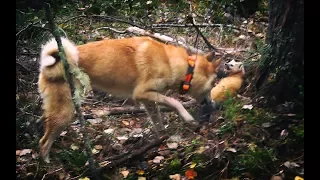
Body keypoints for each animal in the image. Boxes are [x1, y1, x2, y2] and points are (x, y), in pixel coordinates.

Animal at [37, 35, 224, 162]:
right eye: (213, 83)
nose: (214, 105)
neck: (180, 66)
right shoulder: (141, 93)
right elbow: (175, 101)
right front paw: (188, 118)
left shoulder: (148, 100)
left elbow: (158, 122)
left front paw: (163, 140)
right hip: (65, 113)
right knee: (43, 142)